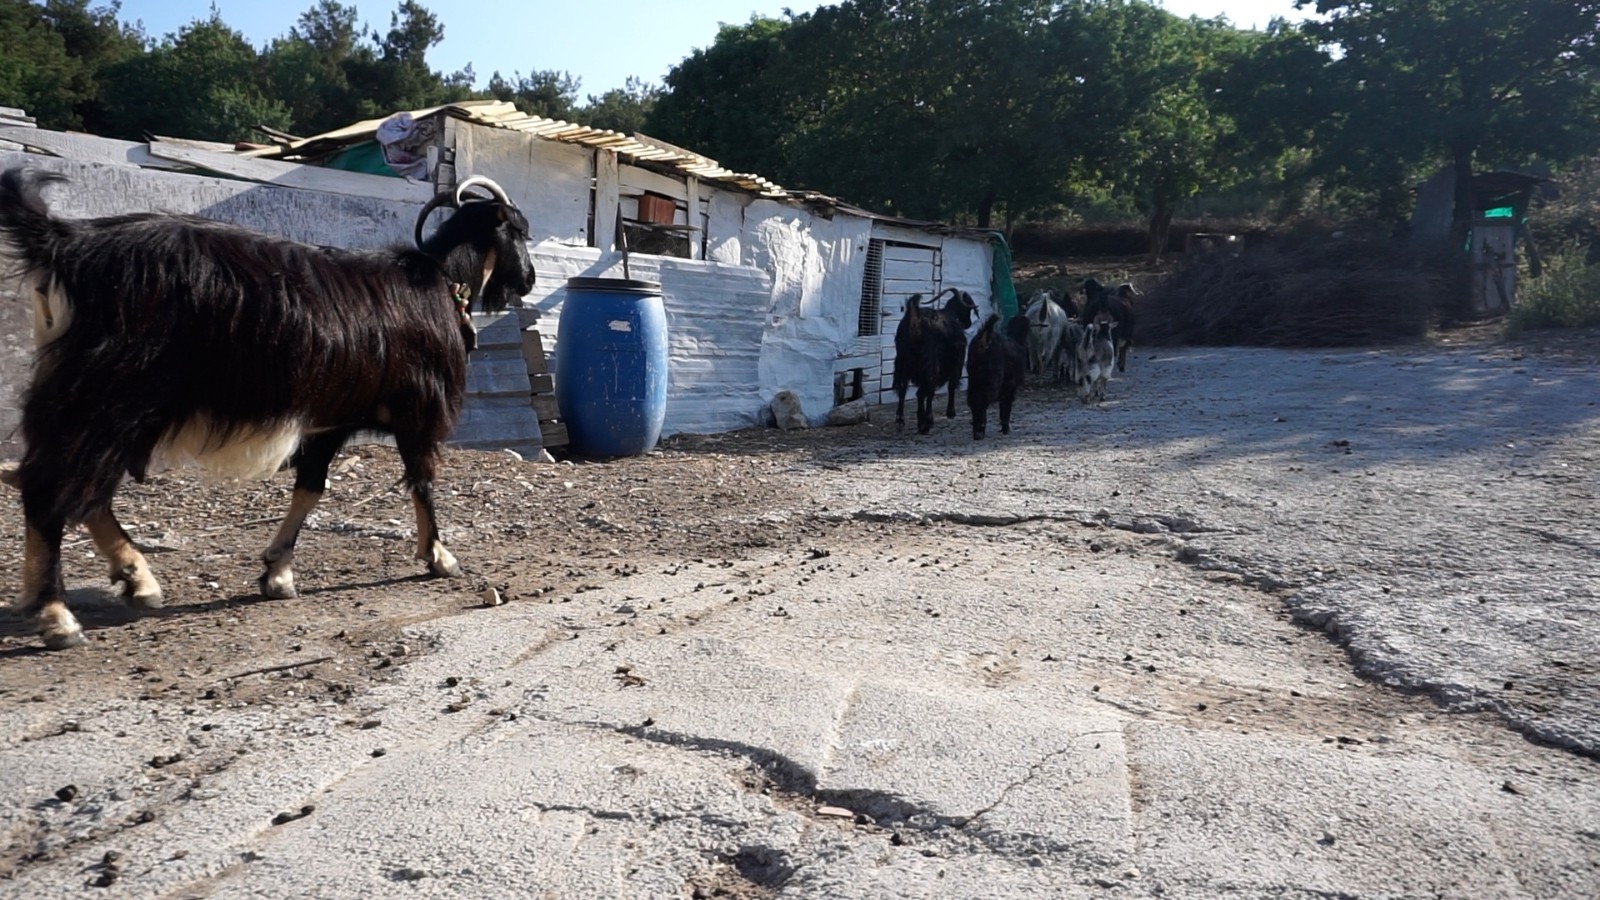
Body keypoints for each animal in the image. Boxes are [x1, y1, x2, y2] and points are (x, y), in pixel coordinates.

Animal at [0, 166, 537, 643]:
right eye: (519, 230)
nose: (530, 279)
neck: (443, 282)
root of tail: (68, 243)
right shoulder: (418, 412)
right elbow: (423, 482)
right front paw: (440, 557)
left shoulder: (331, 419)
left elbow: (311, 487)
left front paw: (277, 573)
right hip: (108, 395)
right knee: (51, 484)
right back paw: (57, 615)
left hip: (113, 405)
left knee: (85, 490)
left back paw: (137, 580)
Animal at [889, 283, 972, 432]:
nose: (969, 323)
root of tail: (915, 322)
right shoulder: (956, 363)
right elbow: (950, 386)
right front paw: (950, 413)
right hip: (929, 365)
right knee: (922, 392)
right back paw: (925, 423)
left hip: (902, 363)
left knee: (903, 390)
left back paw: (901, 420)